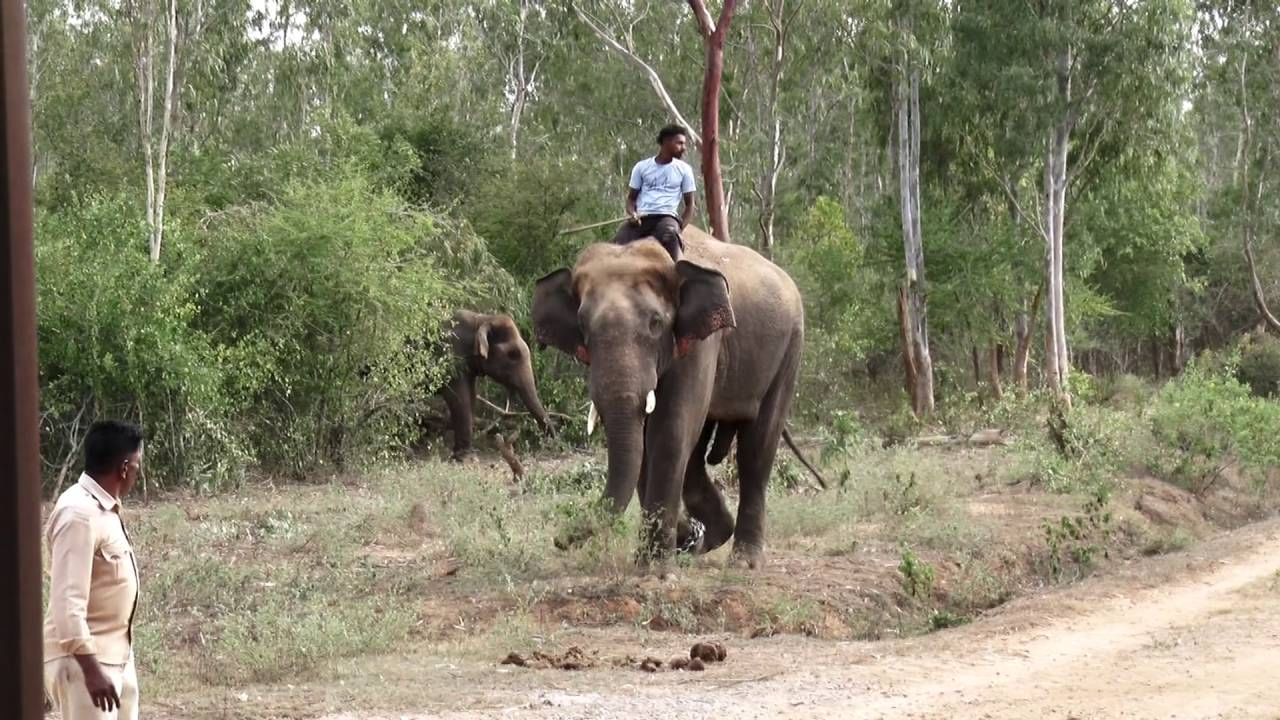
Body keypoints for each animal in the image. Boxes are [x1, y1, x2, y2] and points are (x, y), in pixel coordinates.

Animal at [440, 308, 550, 458]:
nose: (550, 442)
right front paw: (462, 457)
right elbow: (459, 398)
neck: (482, 319)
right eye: (512, 354)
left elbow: (471, 396)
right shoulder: (452, 357)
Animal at [529, 224, 798, 566]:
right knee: (696, 460)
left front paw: (656, 567)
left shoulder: (701, 343)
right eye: (582, 325)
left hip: (790, 346)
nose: (560, 539)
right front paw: (674, 543)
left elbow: (670, 430)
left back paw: (743, 561)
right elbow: (647, 443)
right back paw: (709, 538)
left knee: (756, 448)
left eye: (656, 323)